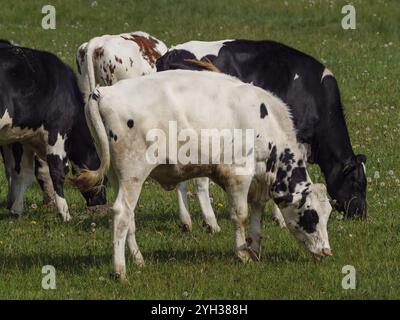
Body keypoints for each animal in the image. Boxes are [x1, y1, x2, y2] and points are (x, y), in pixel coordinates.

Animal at [0, 43, 106, 220]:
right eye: (105, 178)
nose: (102, 202)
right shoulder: (57, 133)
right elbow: (57, 171)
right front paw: (65, 214)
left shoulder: (23, 138)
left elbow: (22, 173)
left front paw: (16, 210)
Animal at [72, 70, 334, 282]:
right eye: (311, 215)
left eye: (327, 214)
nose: (326, 251)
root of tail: (104, 92)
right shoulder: (238, 174)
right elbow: (240, 215)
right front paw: (242, 254)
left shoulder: (258, 182)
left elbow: (257, 217)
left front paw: (255, 250)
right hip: (133, 174)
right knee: (121, 214)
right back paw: (120, 271)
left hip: (118, 176)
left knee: (130, 217)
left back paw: (138, 259)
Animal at [157, 38, 368, 228]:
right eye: (356, 182)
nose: (362, 214)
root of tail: (171, 54)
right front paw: (282, 218)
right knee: (200, 180)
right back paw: (211, 223)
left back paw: (187, 223)